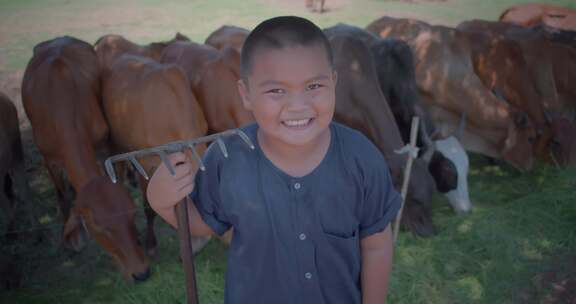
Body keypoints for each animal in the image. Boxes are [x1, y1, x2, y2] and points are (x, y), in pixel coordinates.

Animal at [22, 36, 151, 282]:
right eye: (99, 228)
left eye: (131, 214)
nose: (142, 273)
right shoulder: (48, 158)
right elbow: (63, 198)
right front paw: (68, 246)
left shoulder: (104, 144)